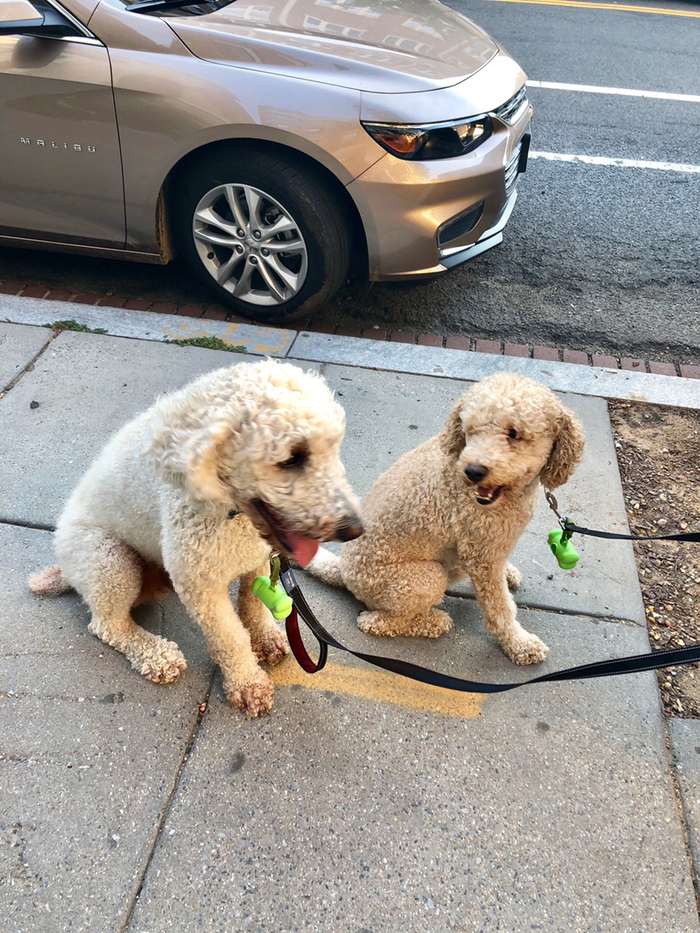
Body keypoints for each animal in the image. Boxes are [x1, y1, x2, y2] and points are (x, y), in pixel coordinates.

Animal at [29, 359, 362, 717]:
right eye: (291, 458)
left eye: (334, 447)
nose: (354, 529)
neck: (234, 513)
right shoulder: (200, 584)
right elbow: (230, 637)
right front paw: (247, 683)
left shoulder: (257, 556)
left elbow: (253, 604)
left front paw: (263, 638)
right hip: (109, 561)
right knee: (107, 625)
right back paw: (156, 654)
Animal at [307, 372, 585, 665]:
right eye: (470, 430)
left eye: (514, 433)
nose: (473, 471)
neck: (511, 494)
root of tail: (343, 570)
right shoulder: (481, 557)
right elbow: (500, 609)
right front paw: (519, 644)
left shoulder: (490, 547)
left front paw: (508, 573)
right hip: (422, 579)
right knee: (374, 621)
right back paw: (433, 621)